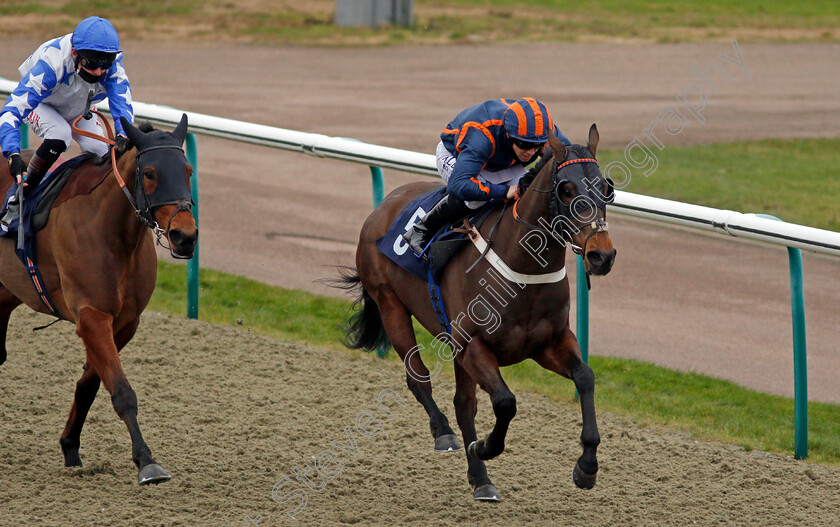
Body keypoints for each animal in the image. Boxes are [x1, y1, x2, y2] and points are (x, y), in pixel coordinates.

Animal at [0, 115, 199, 486]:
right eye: (150, 173)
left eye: (188, 170)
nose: (185, 236)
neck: (113, 232)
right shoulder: (92, 315)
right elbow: (121, 390)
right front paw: (146, 461)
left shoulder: (124, 322)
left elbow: (90, 384)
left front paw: (70, 446)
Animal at [340, 126, 616, 502]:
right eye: (567, 189)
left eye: (606, 188)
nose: (602, 256)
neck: (522, 269)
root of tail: (383, 206)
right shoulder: (473, 345)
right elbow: (505, 402)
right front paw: (484, 446)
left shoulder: (549, 343)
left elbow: (585, 377)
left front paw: (586, 466)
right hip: (391, 305)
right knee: (419, 379)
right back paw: (445, 434)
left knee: (463, 403)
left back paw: (480, 479)